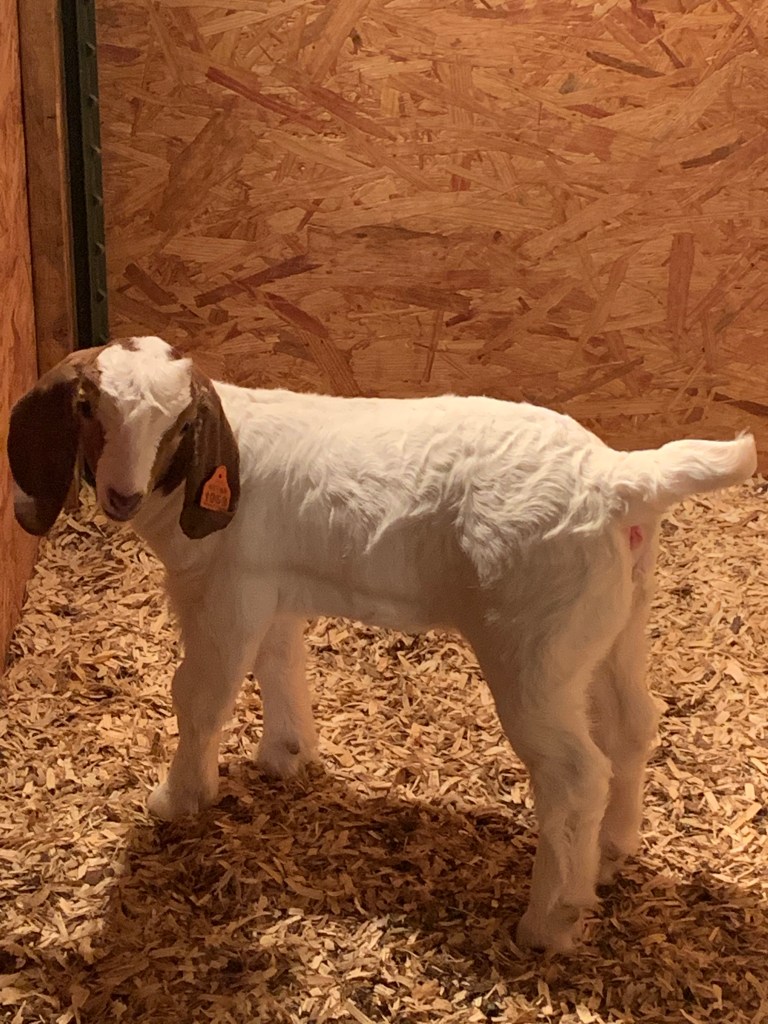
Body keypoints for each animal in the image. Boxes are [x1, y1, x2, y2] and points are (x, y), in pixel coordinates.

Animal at [6, 335, 757, 953]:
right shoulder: (271, 587)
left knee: (575, 774)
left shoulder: (226, 592)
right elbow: (280, 664)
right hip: (611, 626)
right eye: (86, 407)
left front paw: (178, 797)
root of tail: (618, 478)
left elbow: (201, 694)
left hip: (534, 649)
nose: (121, 495)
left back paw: (549, 920)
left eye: (182, 426)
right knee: (631, 726)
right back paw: (613, 851)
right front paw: (286, 756)